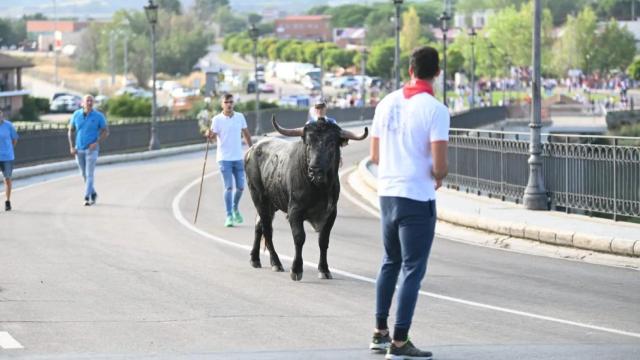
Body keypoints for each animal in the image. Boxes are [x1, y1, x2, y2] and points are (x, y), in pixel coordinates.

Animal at [242, 115, 368, 282]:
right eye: (308, 143)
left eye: (331, 143)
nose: (314, 169)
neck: (319, 188)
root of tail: (253, 148)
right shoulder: (294, 212)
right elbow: (299, 238)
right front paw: (296, 269)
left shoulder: (331, 214)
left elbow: (323, 241)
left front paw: (324, 270)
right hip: (259, 198)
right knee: (267, 229)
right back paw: (276, 262)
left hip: (271, 204)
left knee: (259, 226)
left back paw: (255, 259)